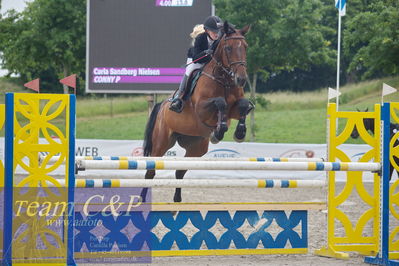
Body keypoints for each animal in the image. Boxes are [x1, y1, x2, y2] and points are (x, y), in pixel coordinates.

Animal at [142, 21, 252, 203]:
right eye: (228, 48)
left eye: (245, 47)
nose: (241, 79)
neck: (223, 80)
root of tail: (162, 104)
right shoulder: (202, 109)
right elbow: (220, 103)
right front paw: (218, 132)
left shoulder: (234, 110)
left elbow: (244, 106)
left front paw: (240, 133)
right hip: (161, 142)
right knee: (150, 171)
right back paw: (141, 199)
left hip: (196, 147)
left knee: (180, 171)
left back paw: (177, 200)